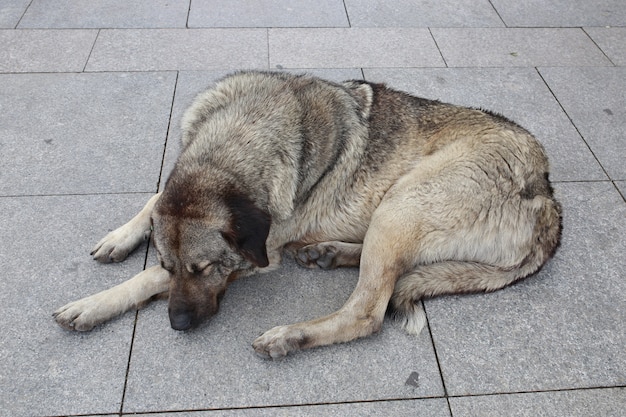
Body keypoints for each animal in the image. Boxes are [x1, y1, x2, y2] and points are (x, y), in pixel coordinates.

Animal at [54, 71, 560, 358]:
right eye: (168, 261)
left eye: (205, 268)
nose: (177, 324)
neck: (242, 134)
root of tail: (548, 195)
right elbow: (152, 204)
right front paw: (121, 236)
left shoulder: (257, 255)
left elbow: (143, 280)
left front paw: (93, 304)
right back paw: (328, 252)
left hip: (403, 203)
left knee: (367, 311)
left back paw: (290, 337)